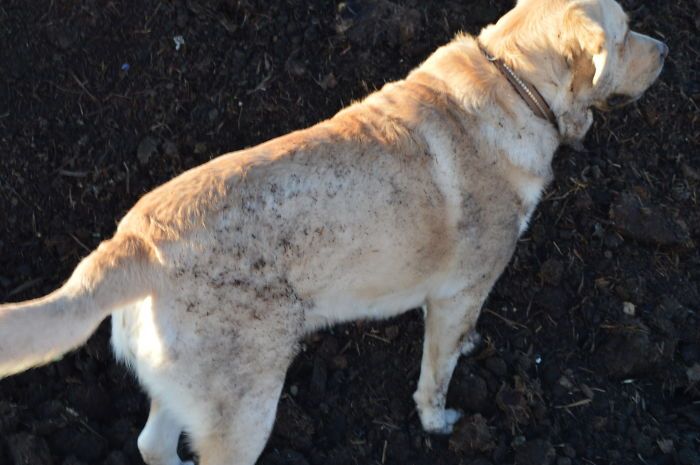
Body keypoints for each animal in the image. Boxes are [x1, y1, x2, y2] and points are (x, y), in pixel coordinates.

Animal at [1, 0, 668, 464]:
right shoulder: (458, 293)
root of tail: (130, 245)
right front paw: (438, 425)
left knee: (152, 445)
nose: (665, 48)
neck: (513, 83)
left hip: (190, 389)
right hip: (244, 413)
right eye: (625, 33)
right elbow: (435, 377)